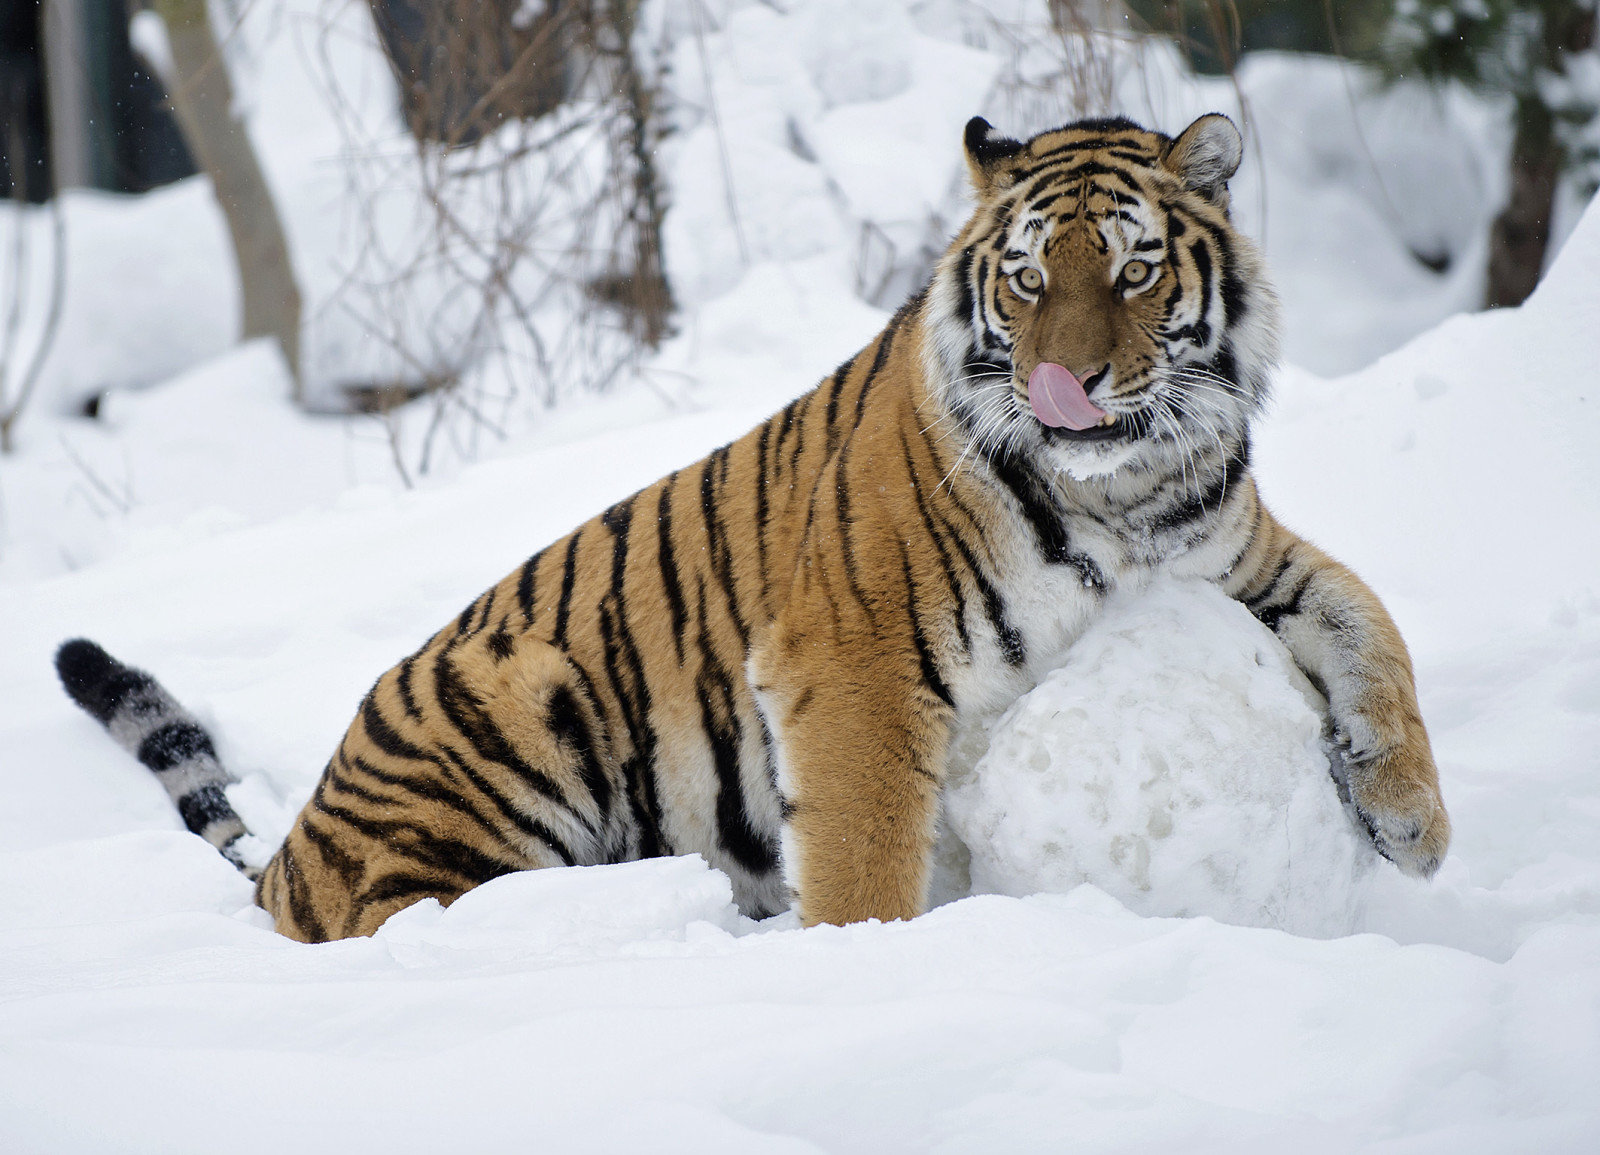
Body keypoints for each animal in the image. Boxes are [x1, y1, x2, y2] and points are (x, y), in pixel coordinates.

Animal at [53, 112, 1452, 947]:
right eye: (1025, 280)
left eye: (1135, 270)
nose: (1068, 386)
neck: (1122, 489)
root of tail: (292, 857)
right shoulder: (858, 660)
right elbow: (867, 843)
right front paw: (859, 961)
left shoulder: (1243, 555)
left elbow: (1372, 623)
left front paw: (1414, 826)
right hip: (514, 705)